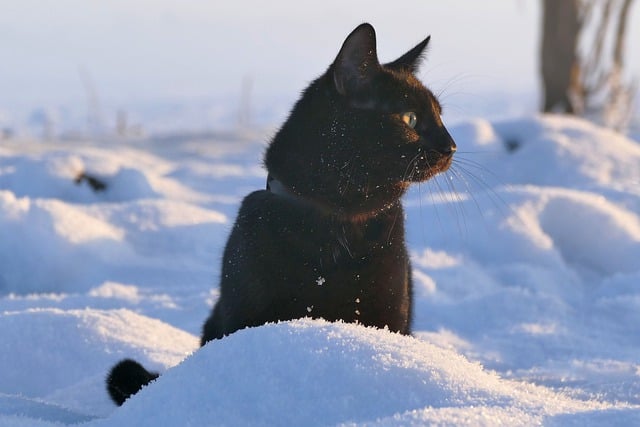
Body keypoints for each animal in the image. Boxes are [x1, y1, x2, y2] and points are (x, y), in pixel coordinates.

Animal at [107, 24, 456, 408]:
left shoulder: (387, 313)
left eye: (440, 115)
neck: (337, 220)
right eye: (409, 118)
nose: (451, 146)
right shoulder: (247, 311)